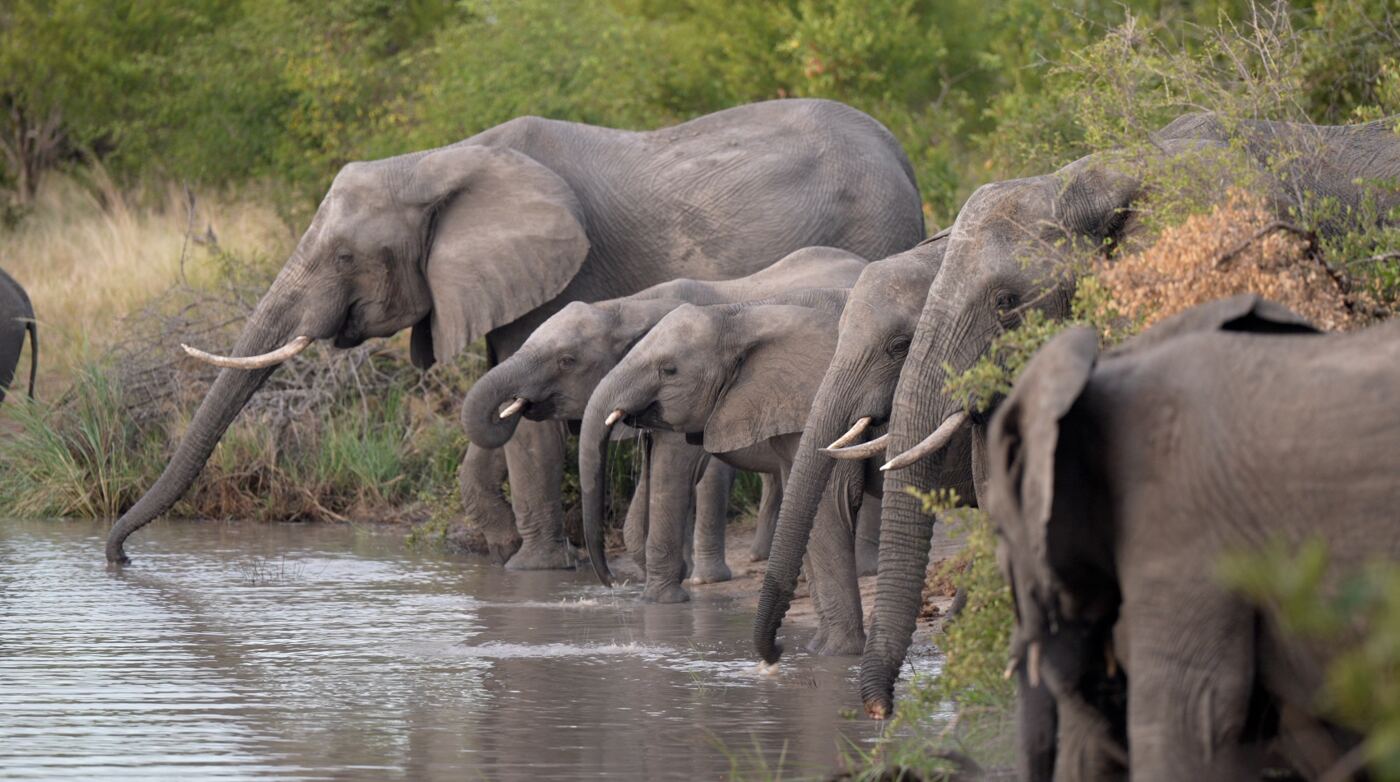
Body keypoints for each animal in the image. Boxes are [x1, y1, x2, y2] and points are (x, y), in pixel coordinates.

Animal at [579, 290, 875, 652]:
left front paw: (833, 654)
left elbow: (827, 505)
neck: (738, 317)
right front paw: (817, 648)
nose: (611, 582)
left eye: (669, 370)